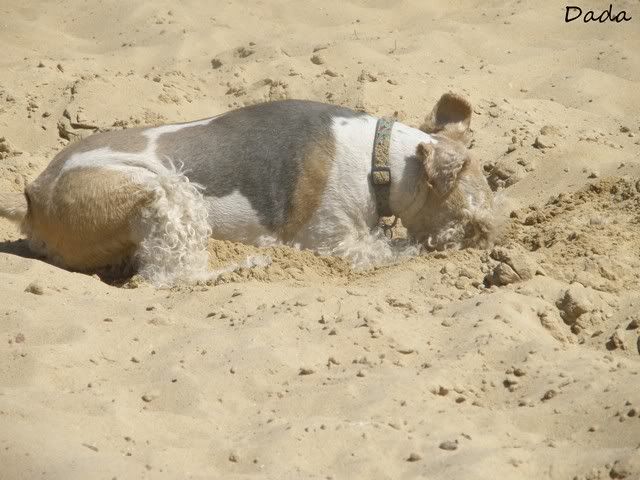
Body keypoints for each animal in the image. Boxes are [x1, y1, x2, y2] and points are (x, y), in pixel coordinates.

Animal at [0, 93, 494, 285]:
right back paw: (247, 264)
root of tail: (34, 196)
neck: (383, 158)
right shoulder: (336, 242)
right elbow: (391, 250)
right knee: (169, 276)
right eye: (471, 221)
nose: (491, 243)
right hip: (164, 192)